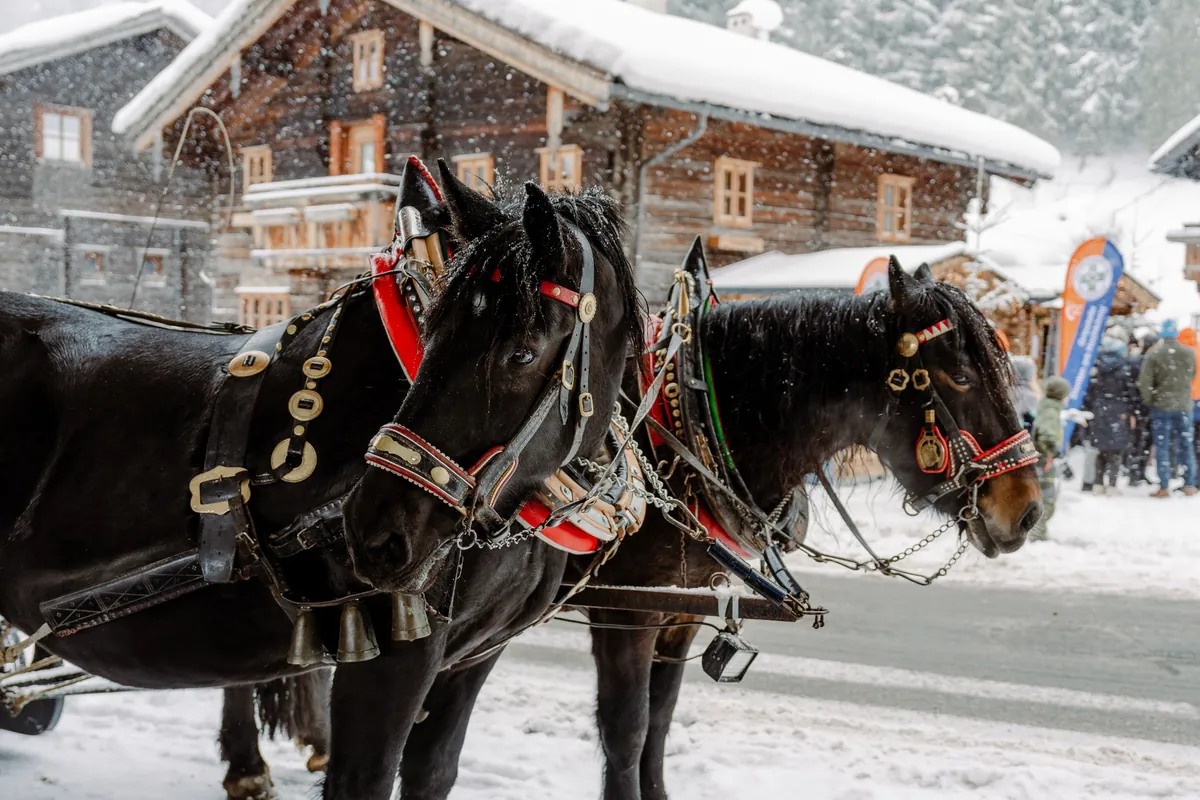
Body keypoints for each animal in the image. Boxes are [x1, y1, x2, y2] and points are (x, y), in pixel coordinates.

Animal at [0, 160, 640, 800]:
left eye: (521, 353)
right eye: (431, 333)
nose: (375, 534)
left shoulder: (473, 660)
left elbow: (434, 771)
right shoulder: (392, 657)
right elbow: (363, 777)